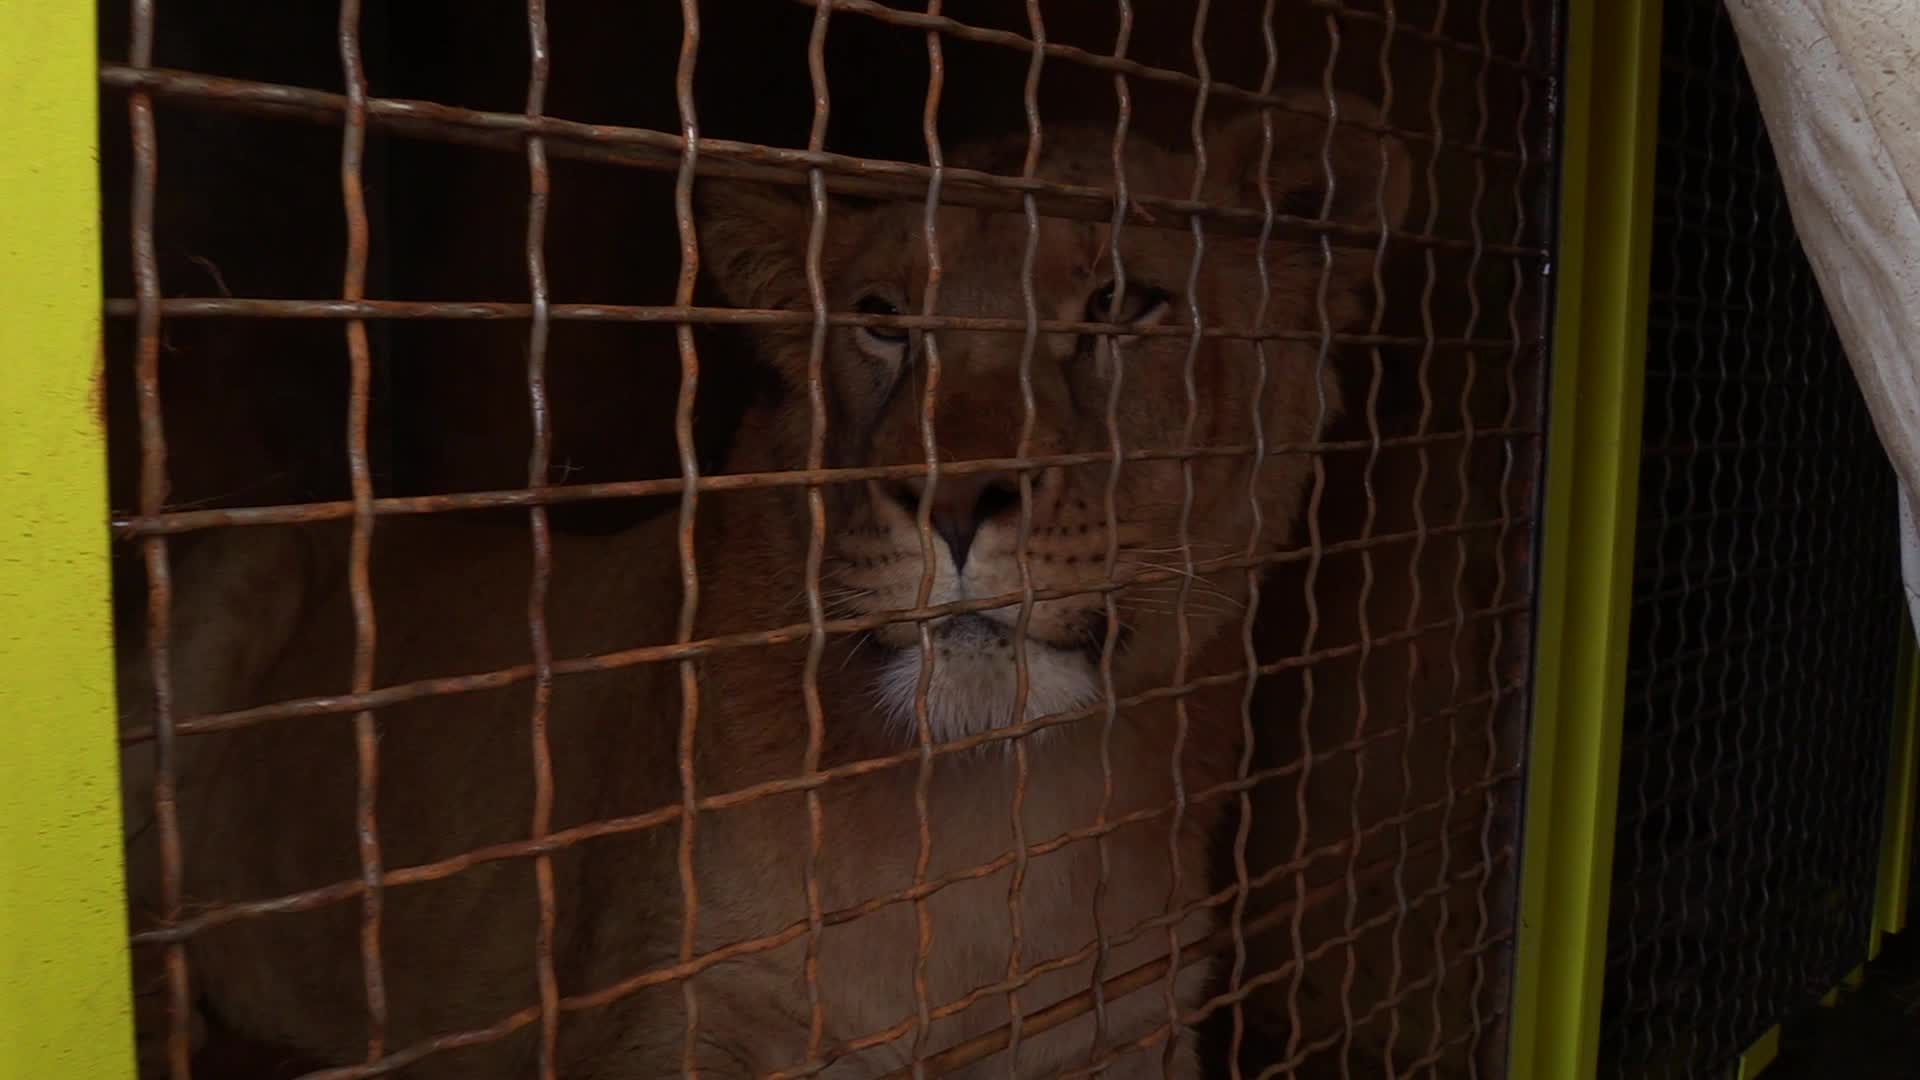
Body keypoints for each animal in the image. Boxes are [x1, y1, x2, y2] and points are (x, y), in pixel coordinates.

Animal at [119, 90, 1411, 1078]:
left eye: (1124, 305)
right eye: (883, 322)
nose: (949, 502)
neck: (998, 820)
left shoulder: (1134, 1025)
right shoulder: (675, 1020)